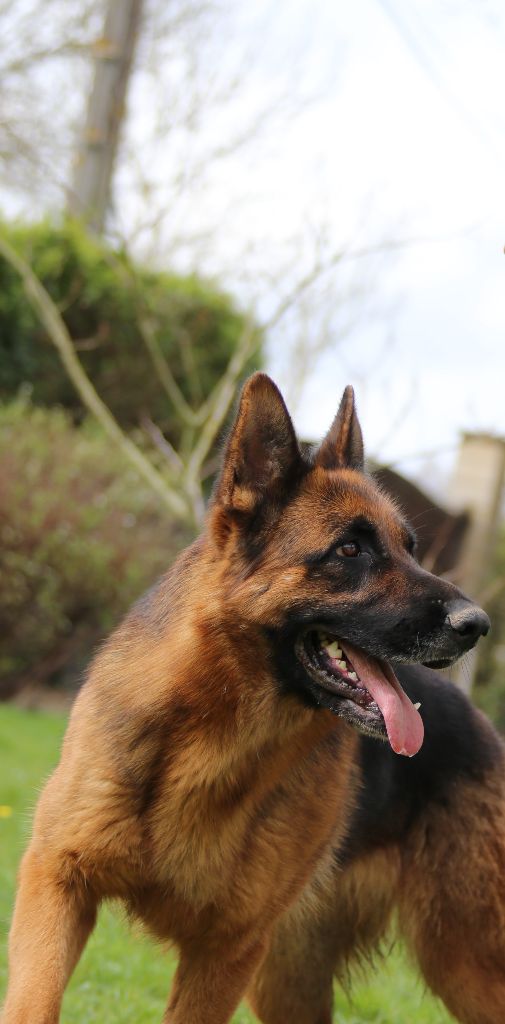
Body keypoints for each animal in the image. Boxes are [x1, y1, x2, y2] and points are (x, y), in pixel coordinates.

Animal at [2, 376, 499, 1024]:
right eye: (350, 551)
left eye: (409, 548)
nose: (479, 624)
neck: (202, 736)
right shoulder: (56, 883)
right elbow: (33, 1002)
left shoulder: (225, 952)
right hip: (288, 979)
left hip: (465, 966)